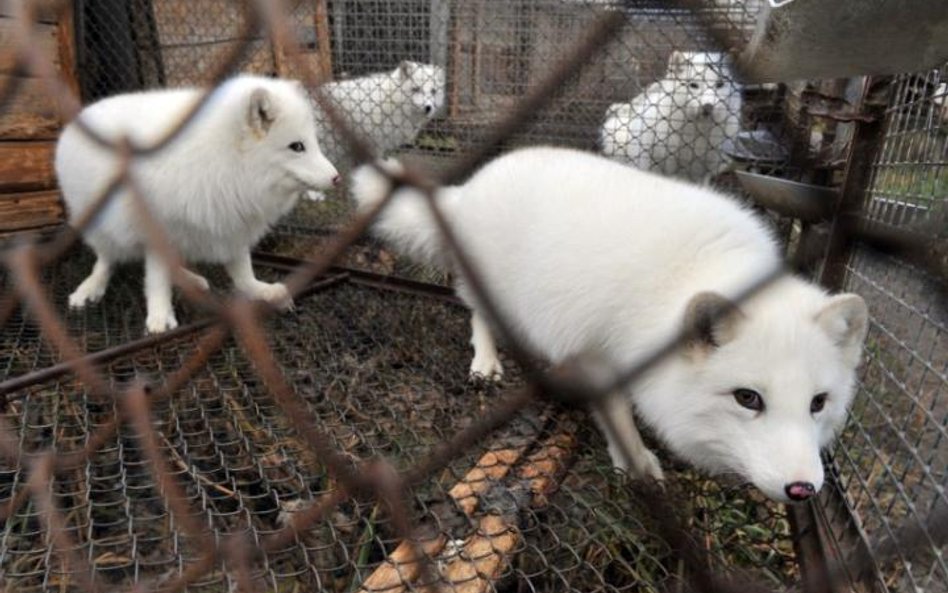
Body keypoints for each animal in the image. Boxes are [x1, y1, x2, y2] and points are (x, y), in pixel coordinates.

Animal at [56, 74, 340, 332]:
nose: (337, 178)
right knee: (105, 259)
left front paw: (261, 290)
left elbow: (242, 272)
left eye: (313, 143)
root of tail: (82, 115)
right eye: (297, 146)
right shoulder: (157, 226)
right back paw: (91, 287)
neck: (227, 164)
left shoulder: (232, 222)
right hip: (99, 226)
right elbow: (156, 278)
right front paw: (160, 316)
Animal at [352, 146, 872, 502]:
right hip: (489, 288)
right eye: (748, 399)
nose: (803, 490)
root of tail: (471, 186)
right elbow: (618, 415)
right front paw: (636, 463)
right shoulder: (604, 353)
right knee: (478, 313)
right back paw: (486, 361)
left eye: (819, 403)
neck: (694, 270)